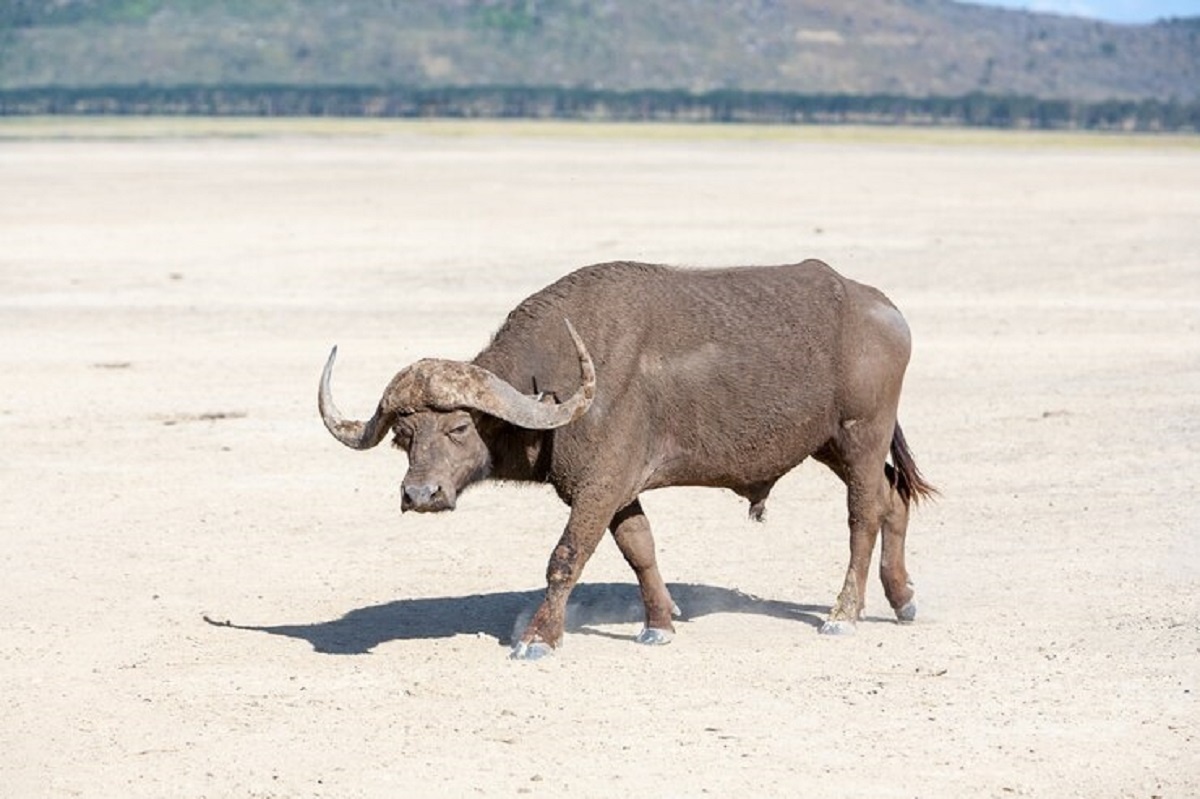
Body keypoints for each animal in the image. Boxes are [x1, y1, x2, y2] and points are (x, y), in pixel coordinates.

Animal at [321, 257, 936, 657]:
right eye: (404, 436)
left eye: (459, 427)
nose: (420, 494)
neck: (560, 389)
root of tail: (884, 310)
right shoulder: (617, 491)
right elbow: (640, 550)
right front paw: (659, 624)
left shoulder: (598, 488)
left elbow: (566, 556)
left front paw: (538, 638)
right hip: (828, 445)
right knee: (892, 499)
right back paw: (903, 599)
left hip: (862, 435)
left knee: (862, 516)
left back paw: (843, 614)